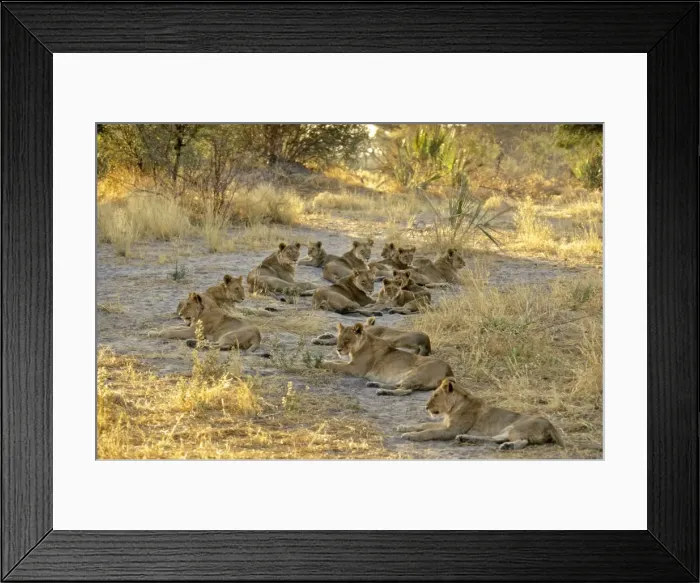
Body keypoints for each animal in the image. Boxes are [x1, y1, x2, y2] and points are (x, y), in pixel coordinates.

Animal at [321, 322, 452, 395]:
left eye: (347, 340)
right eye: (339, 339)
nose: (338, 349)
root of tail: (450, 371)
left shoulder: (356, 369)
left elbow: (335, 365)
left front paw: (320, 363)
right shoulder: (351, 363)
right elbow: (335, 361)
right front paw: (323, 360)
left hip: (417, 373)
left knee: (405, 391)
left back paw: (382, 391)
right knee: (398, 385)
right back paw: (374, 384)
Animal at [398, 377, 565, 450]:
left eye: (435, 396)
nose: (425, 407)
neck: (452, 409)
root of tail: (550, 424)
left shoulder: (452, 430)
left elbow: (428, 432)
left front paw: (410, 435)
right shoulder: (446, 425)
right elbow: (423, 424)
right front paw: (404, 427)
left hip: (517, 428)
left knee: (523, 442)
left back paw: (508, 446)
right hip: (506, 429)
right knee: (494, 438)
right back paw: (465, 438)